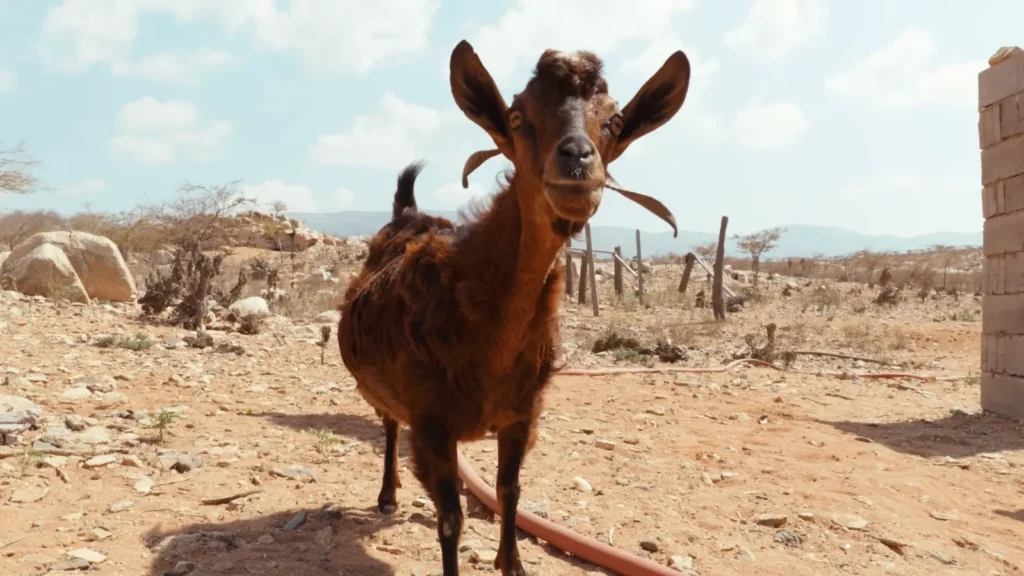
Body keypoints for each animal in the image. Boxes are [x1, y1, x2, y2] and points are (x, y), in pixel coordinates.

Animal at [337, 40, 691, 575]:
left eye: (613, 120)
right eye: (519, 115)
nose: (577, 160)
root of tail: (408, 212)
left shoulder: (524, 413)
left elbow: (510, 491)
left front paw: (514, 562)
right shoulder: (432, 422)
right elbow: (450, 520)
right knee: (389, 424)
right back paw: (387, 495)